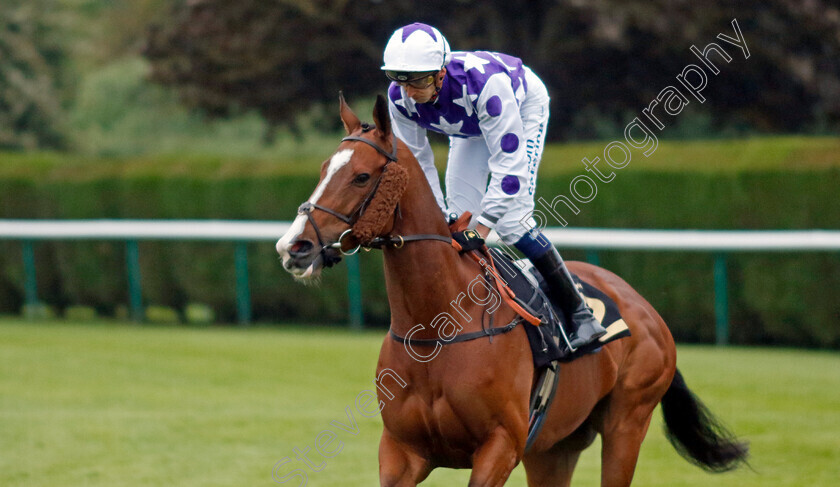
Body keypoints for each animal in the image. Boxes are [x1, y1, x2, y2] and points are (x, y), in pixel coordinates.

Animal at [278, 93, 748, 486]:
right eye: (323, 170)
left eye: (361, 176)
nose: (293, 246)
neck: (437, 329)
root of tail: (645, 309)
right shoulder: (400, 451)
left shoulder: (500, 446)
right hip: (554, 448)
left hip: (626, 424)